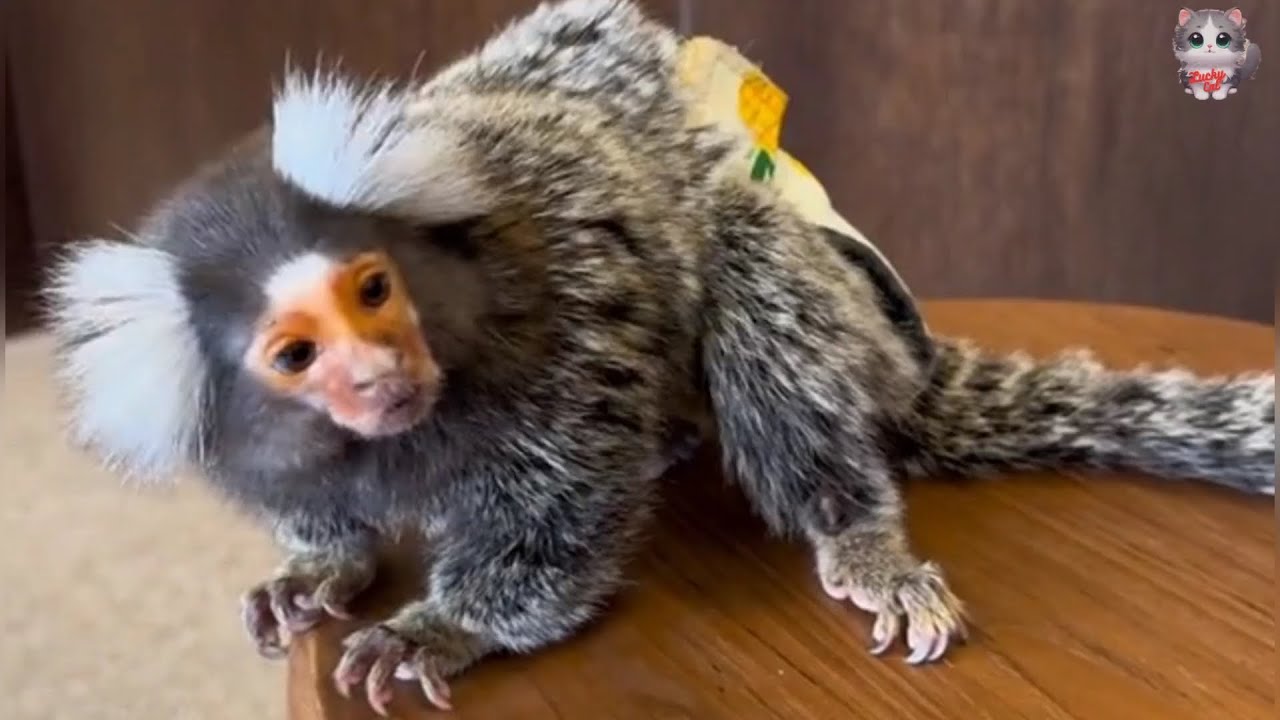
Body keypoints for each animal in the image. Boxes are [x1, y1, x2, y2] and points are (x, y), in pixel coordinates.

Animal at [41, 0, 1274, 714]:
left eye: (374, 291)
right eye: (295, 353)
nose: (377, 373)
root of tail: (912, 366)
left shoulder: (562, 325)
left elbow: (563, 505)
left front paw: (444, 626)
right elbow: (312, 515)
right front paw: (320, 571)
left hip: (856, 328)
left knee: (743, 258)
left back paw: (855, 532)